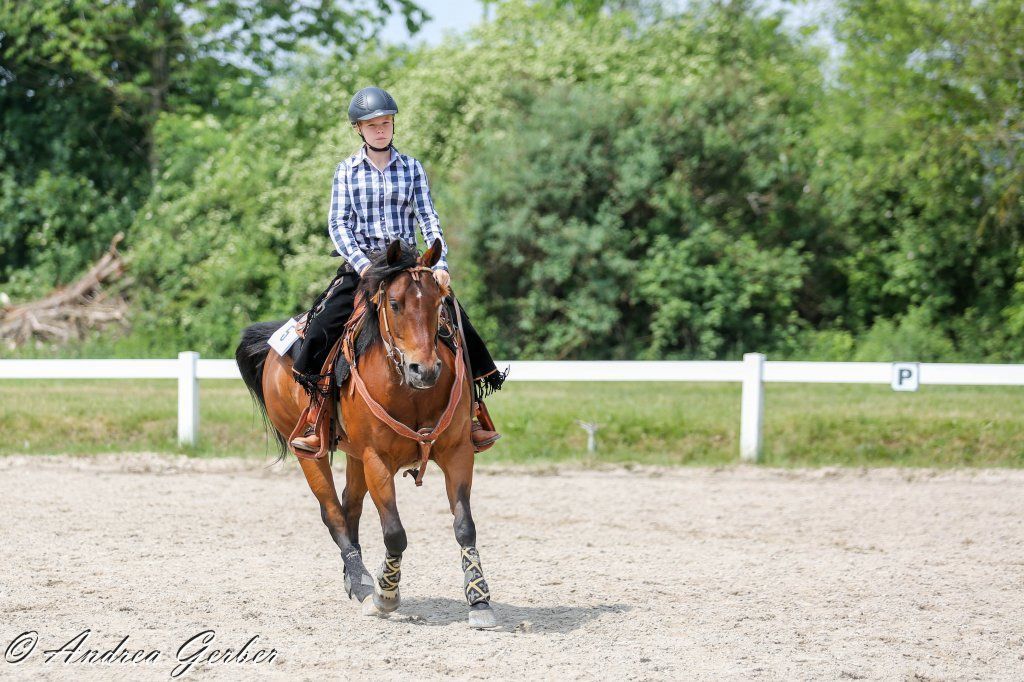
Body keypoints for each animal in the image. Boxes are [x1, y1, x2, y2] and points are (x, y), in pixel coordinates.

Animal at [234, 238, 496, 628]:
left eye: (438, 302)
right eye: (395, 303)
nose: (424, 369)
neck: (411, 392)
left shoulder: (457, 452)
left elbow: (465, 525)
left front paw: (479, 600)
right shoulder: (378, 460)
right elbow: (395, 533)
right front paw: (385, 596)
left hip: (355, 454)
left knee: (350, 506)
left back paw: (353, 575)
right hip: (310, 452)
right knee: (333, 511)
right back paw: (360, 582)